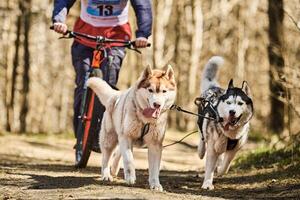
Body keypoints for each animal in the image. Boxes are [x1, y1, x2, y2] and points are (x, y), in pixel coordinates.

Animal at [198, 55, 254, 189]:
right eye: (228, 103)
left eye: (240, 103)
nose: (232, 112)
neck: (230, 133)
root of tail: (213, 87)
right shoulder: (212, 148)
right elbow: (209, 167)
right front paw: (207, 183)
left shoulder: (234, 150)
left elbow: (226, 166)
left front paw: (219, 170)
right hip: (201, 121)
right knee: (201, 135)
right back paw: (201, 150)